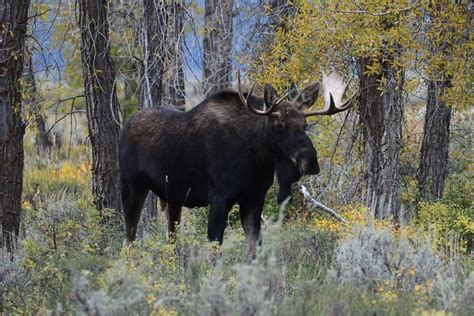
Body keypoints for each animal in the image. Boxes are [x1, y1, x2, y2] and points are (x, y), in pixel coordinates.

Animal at [119, 70, 356, 256]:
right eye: (279, 126)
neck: (258, 159)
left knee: (170, 237)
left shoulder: (254, 198)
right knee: (128, 238)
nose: (311, 162)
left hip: (174, 197)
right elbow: (214, 249)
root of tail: (125, 125)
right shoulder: (219, 198)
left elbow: (255, 248)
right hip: (132, 186)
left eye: (305, 125)